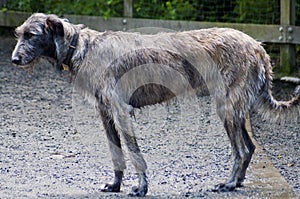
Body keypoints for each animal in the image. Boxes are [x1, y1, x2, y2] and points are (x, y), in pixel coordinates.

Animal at [10, 13, 298, 197]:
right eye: (18, 34)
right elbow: (116, 153)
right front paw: (115, 185)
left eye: (32, 35)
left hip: (226, 108)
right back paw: (236, 183)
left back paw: (227, 184)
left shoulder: (121, 110)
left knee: (240, 149)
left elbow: (134, 154)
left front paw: (141, 188)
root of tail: (259, 48)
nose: (14, 60)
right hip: (236, 110)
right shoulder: (105, 112)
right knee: (250, 147)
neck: (83, 46)